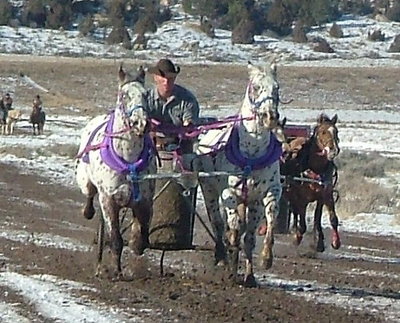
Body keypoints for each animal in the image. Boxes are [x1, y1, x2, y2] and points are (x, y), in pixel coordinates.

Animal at [75, 65, 156, 278]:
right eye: (124, 95)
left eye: (146, 94)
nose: (141, 123)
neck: (128, 160)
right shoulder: (109, 200)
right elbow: (116, 239)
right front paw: (116, 271)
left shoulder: (143, 201)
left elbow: (140, 235)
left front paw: (136, 244)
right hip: (87, 183)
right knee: (90, 198)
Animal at [195, 61, 282, 288]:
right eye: (256, 87)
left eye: (276, 87)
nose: (271, 117)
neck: (252, 153)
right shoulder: (230, 194)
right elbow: (233, 231)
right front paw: (232, 268)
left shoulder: (266, 195)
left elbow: (259, 230)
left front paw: (262, 262)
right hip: (209, 191)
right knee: (218, 223)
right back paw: (222, 258)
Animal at [282, 114, 340, 253]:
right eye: (323, 132)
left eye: (336, 131)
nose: (333, 151)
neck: (315, 169)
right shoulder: (301, 198)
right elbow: (302, 223)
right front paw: (297, 236)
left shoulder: (325, 195)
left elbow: (331, 219)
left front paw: (332, 242)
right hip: (290, 193)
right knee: (295, 211)